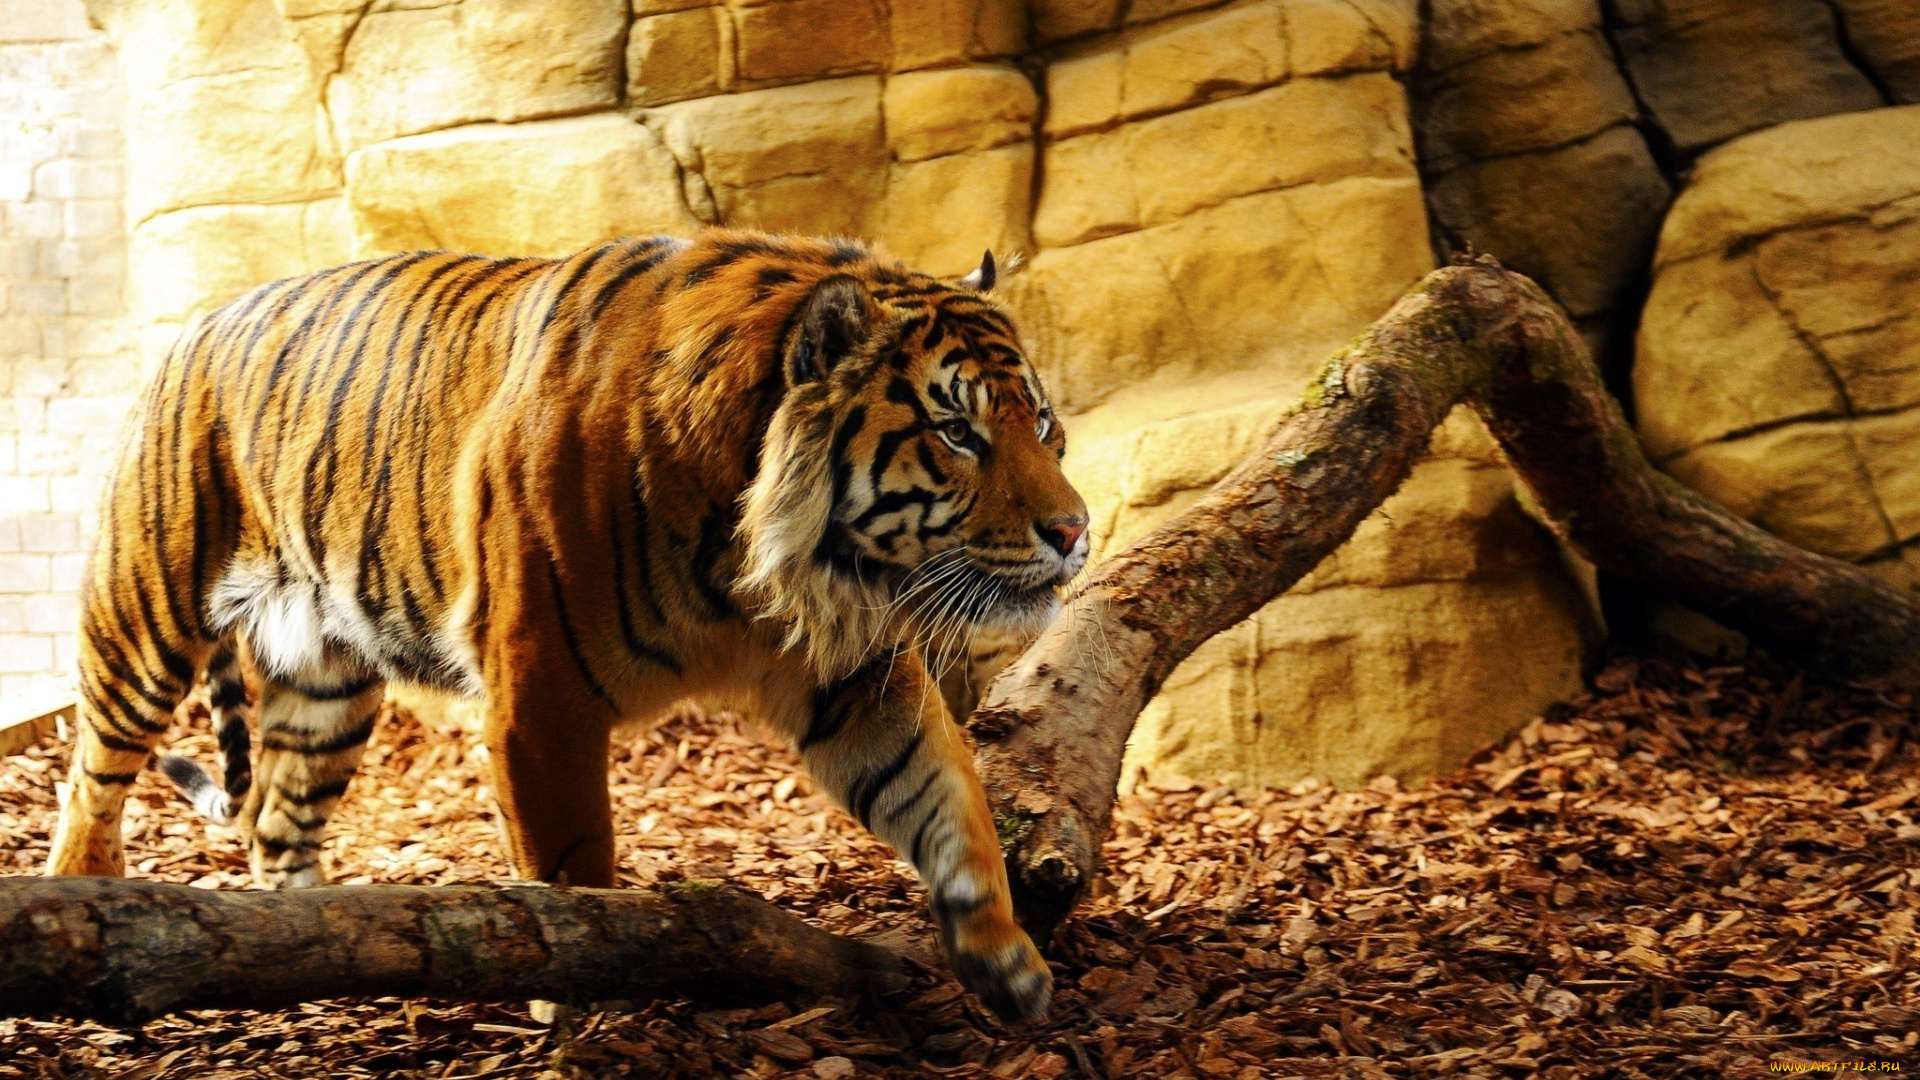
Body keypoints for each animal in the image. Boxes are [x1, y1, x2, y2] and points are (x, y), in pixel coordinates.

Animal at [44, 230, 1090, 1022]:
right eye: (958, 433)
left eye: (1042, 423)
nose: (1076, 532)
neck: (770, 561)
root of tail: (196, 326)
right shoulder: (541, 698)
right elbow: (578, 871)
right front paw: (589, 1005)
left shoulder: (855, 675)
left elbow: (948, 794)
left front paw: (1005, 959)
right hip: (144, 618)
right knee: (91, 778)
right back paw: (88, 895)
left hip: (327, 681)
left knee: (275, 819)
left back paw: (319, 945)